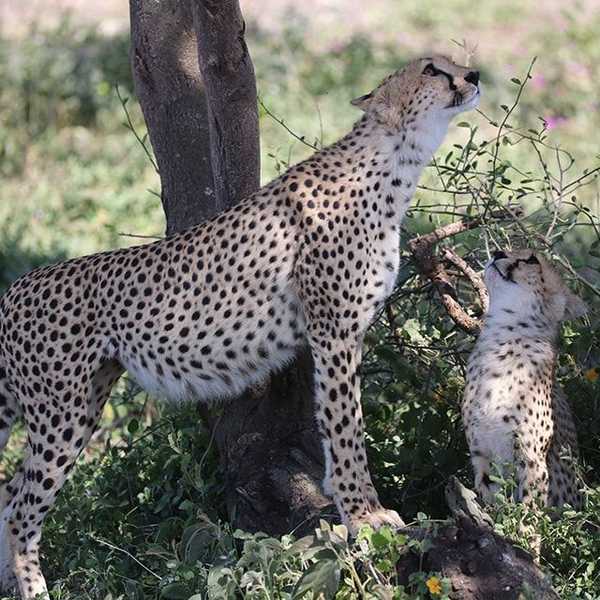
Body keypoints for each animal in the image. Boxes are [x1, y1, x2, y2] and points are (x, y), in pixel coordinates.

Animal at [0, 55, 478, 596]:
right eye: (432, 69)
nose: (475, 76)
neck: (394, 161)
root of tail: (16, 286)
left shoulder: (335, 334)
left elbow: (339, 426)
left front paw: (359, 510)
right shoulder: (334, 332)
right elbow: (346, 427)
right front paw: (366, 516)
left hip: (81, 403)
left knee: (9, 497)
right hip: (58, 412)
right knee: (21, 511)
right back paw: (34, 589)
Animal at [464, 251, 584, 508]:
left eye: (531, 260)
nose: (498, 253)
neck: (502, 339)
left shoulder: (531, 458)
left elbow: (527, 507)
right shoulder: (482, 456)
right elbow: (492, 501)